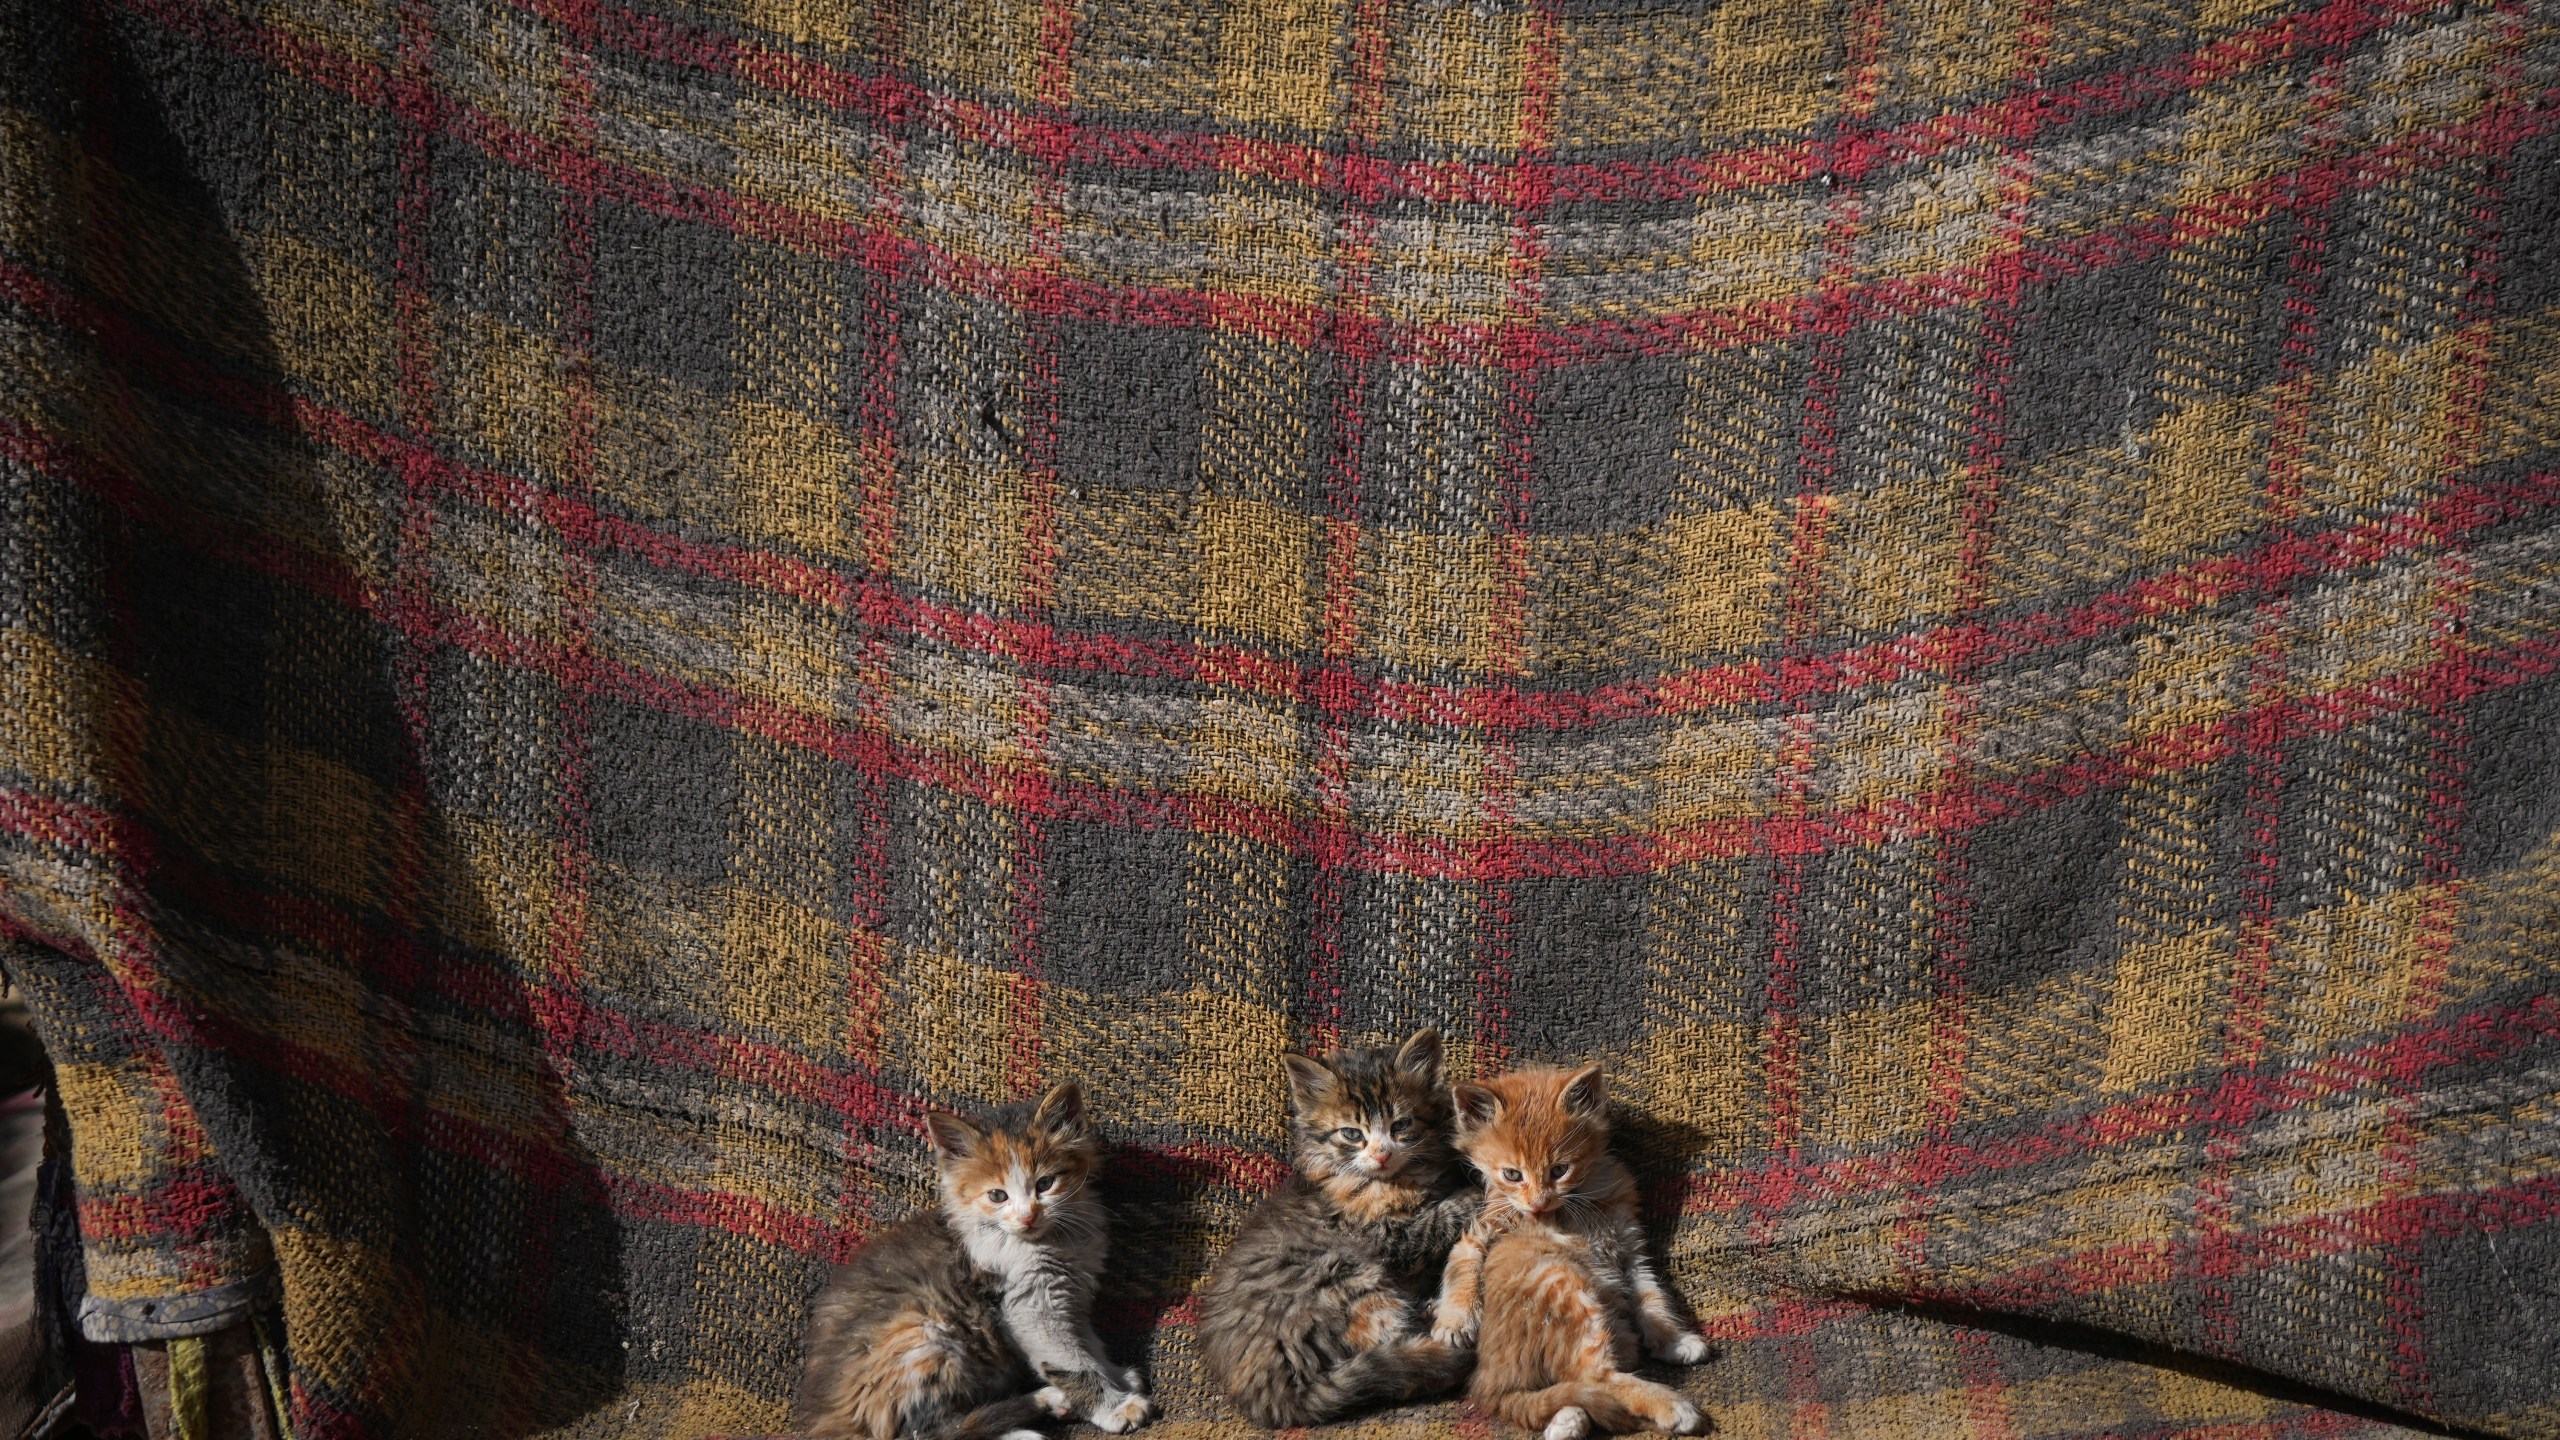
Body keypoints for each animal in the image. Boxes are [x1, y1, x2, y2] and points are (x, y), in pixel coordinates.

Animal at [788, 1076, 1152, 1434]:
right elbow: (1072, 1362)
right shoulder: (1031, 1308)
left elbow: (1089, 1344)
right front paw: (1115, 1406)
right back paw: (1044, 1403)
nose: (1027, 1216)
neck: (1053, 1242)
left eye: (1046, 1183)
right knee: (925, 1430)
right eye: (997, 1195)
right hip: (921, 1337)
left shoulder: (1072, 1296)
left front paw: (1116, 1376)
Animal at [1198, 1024, 1484, 1414]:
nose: (1381, 1155)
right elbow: (1437, 1219)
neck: (1391, 1180)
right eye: (1352, 1134)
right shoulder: (1386, 1236)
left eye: (1401, 1125)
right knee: (1391, 1342)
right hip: (1345, 1273)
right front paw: (1475, 1193)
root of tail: (1270, 1392)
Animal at [1433, 1060, 1710, 1424]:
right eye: (1512, 1175)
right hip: (1564, 1280)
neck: (1583, 1202)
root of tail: (1487, 1385)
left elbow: (1651, 1299)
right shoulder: (1484, 1228)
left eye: (1559, 1170)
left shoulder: (1631, 1248)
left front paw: (1672, 1339)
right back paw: (1671, 1406)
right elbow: (1462, 1262)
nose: (1538, 1203)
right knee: (1592, 1378)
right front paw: (1454, 1321)